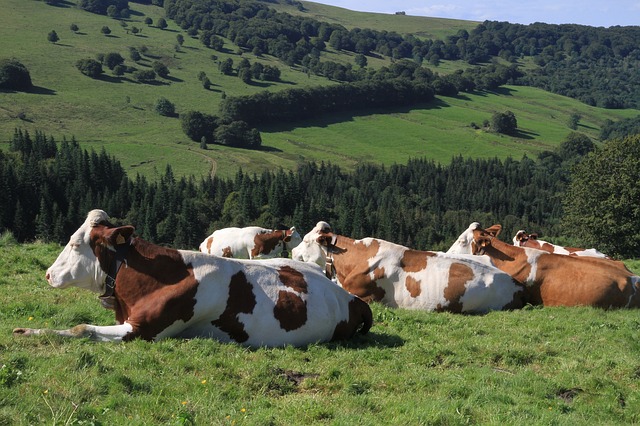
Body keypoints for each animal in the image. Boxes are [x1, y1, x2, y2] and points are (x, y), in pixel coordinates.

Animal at [13, 210, 372, 347]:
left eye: (75, 244)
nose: (48, 273)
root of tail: (349, 297)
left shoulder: (143, 331)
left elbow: (81, 328)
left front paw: (25, 331)